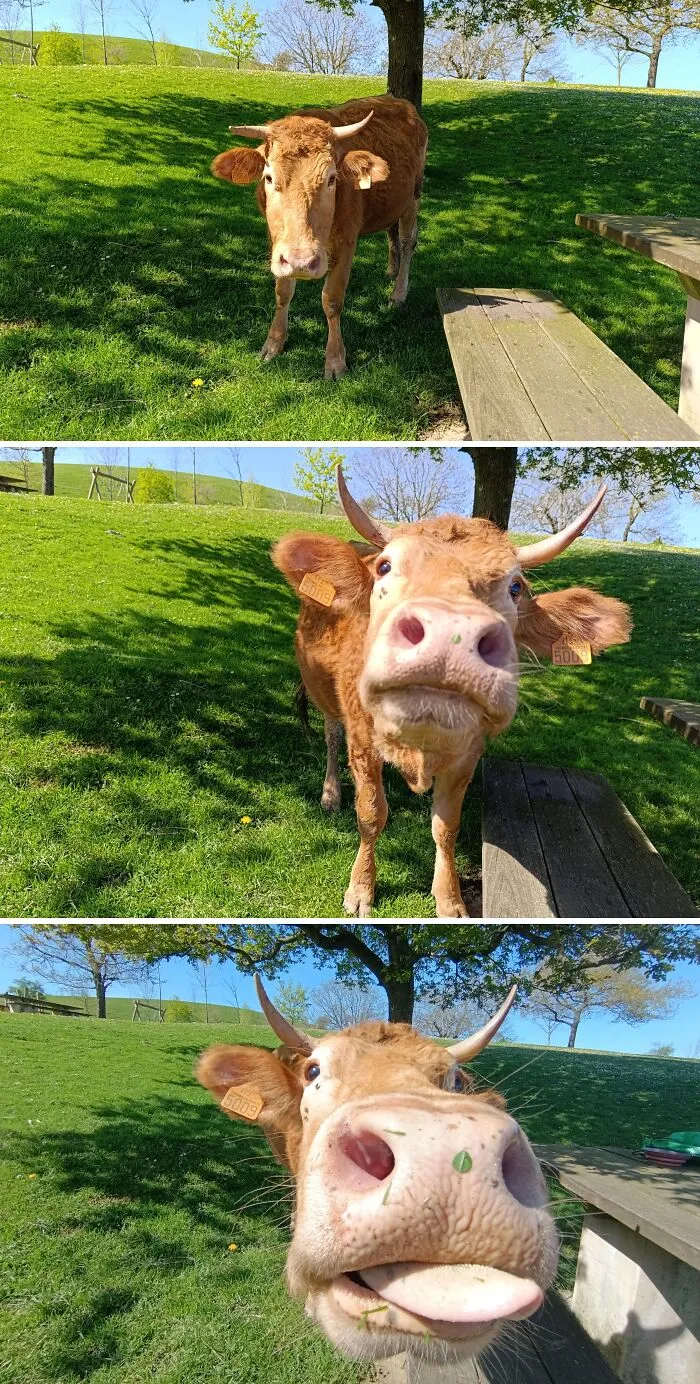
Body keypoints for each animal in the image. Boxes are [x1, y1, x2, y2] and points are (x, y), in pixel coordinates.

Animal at [211, 96, 428, 379]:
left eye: (331, 179)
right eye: (268, 177)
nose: (301, 263)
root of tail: (399, 102)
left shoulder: (346, 241)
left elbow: (332, 299)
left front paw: (335, 361)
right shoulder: (277, 244)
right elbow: (282, 292)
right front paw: (274, 343)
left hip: (414, 195)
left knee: (407, 240)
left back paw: (398, 292)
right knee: (391, 231)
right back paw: (392, 269)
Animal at [272, 467, 632, 918]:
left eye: (515, 587)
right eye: (385, 568)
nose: (450, 632)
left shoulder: (468, 753)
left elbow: (446, 826)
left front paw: (450, 900)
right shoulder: (362, 738)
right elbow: (371, 813)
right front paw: (361, 889)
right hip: (325, 698)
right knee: (330, 736)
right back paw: (331, 793)